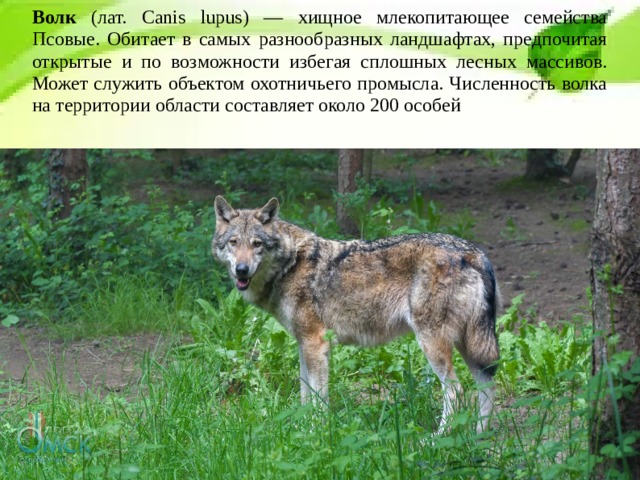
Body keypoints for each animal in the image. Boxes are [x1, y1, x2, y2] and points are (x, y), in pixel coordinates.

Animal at [212, 196, 501, 433]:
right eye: (233, 243)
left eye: (257, 244)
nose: (241, 269)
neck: (290, 264)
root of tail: (474, 253)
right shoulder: (304, 345)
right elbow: (305, 394)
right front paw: (301, 429)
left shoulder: (316, 344)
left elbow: (318, 398)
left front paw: (316, 433)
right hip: (469, 345)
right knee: (486, 386)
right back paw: (478, 436)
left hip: (433, 344)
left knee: (456, 391)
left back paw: (437, 440)